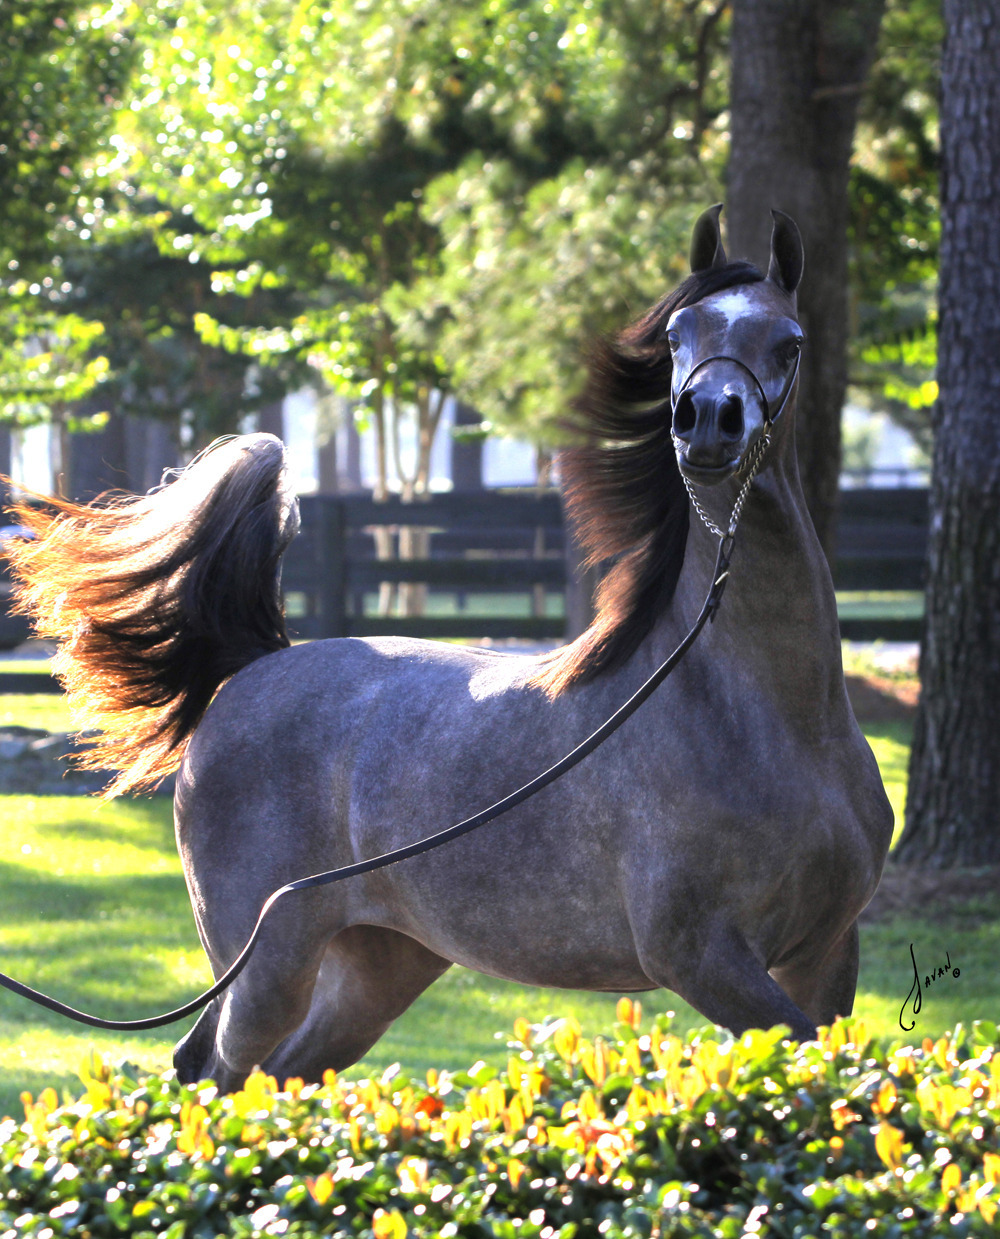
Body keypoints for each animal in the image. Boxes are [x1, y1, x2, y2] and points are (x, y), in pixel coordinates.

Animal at [5, 205, 893, 1092]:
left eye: (790, 341)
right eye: (678, 335)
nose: (708, 419)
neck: (766, 718)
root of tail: (259, 666)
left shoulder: (825, 952)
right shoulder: (703, 957)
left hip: (378, 967)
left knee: (284, 1074)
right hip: (264, 963)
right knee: (213, 1073)